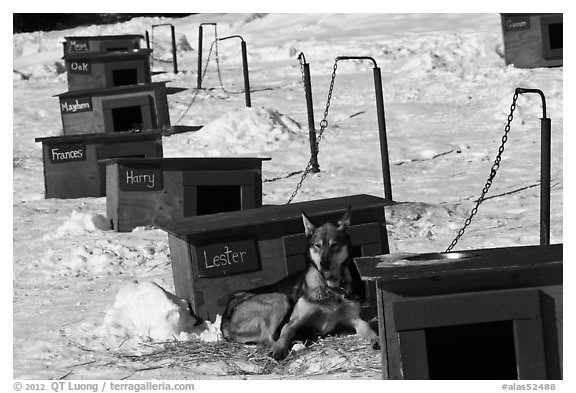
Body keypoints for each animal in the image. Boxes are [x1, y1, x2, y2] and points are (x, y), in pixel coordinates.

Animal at [219, 207, 378, 360]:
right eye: (317, 245)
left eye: (334, 245)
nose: (323, 263)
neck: (330, 286)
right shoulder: (293, 322)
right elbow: (285, 333)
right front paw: (280, 348)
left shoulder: (357, 319)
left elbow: (369, 328)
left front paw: (376, 339)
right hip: (281, 298)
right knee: (268, 337)